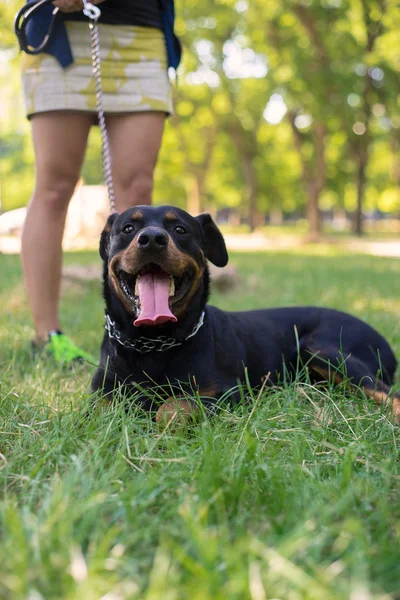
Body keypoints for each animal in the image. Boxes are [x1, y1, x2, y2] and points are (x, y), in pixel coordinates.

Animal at [92, 206, 400, 422]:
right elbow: (100, 412)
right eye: (128, 228)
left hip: (322, 350)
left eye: (180, 229)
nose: (152, 238)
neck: (154, 343)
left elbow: (175, 406)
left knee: (388, 393)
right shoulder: (102, 394)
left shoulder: (227, 392)